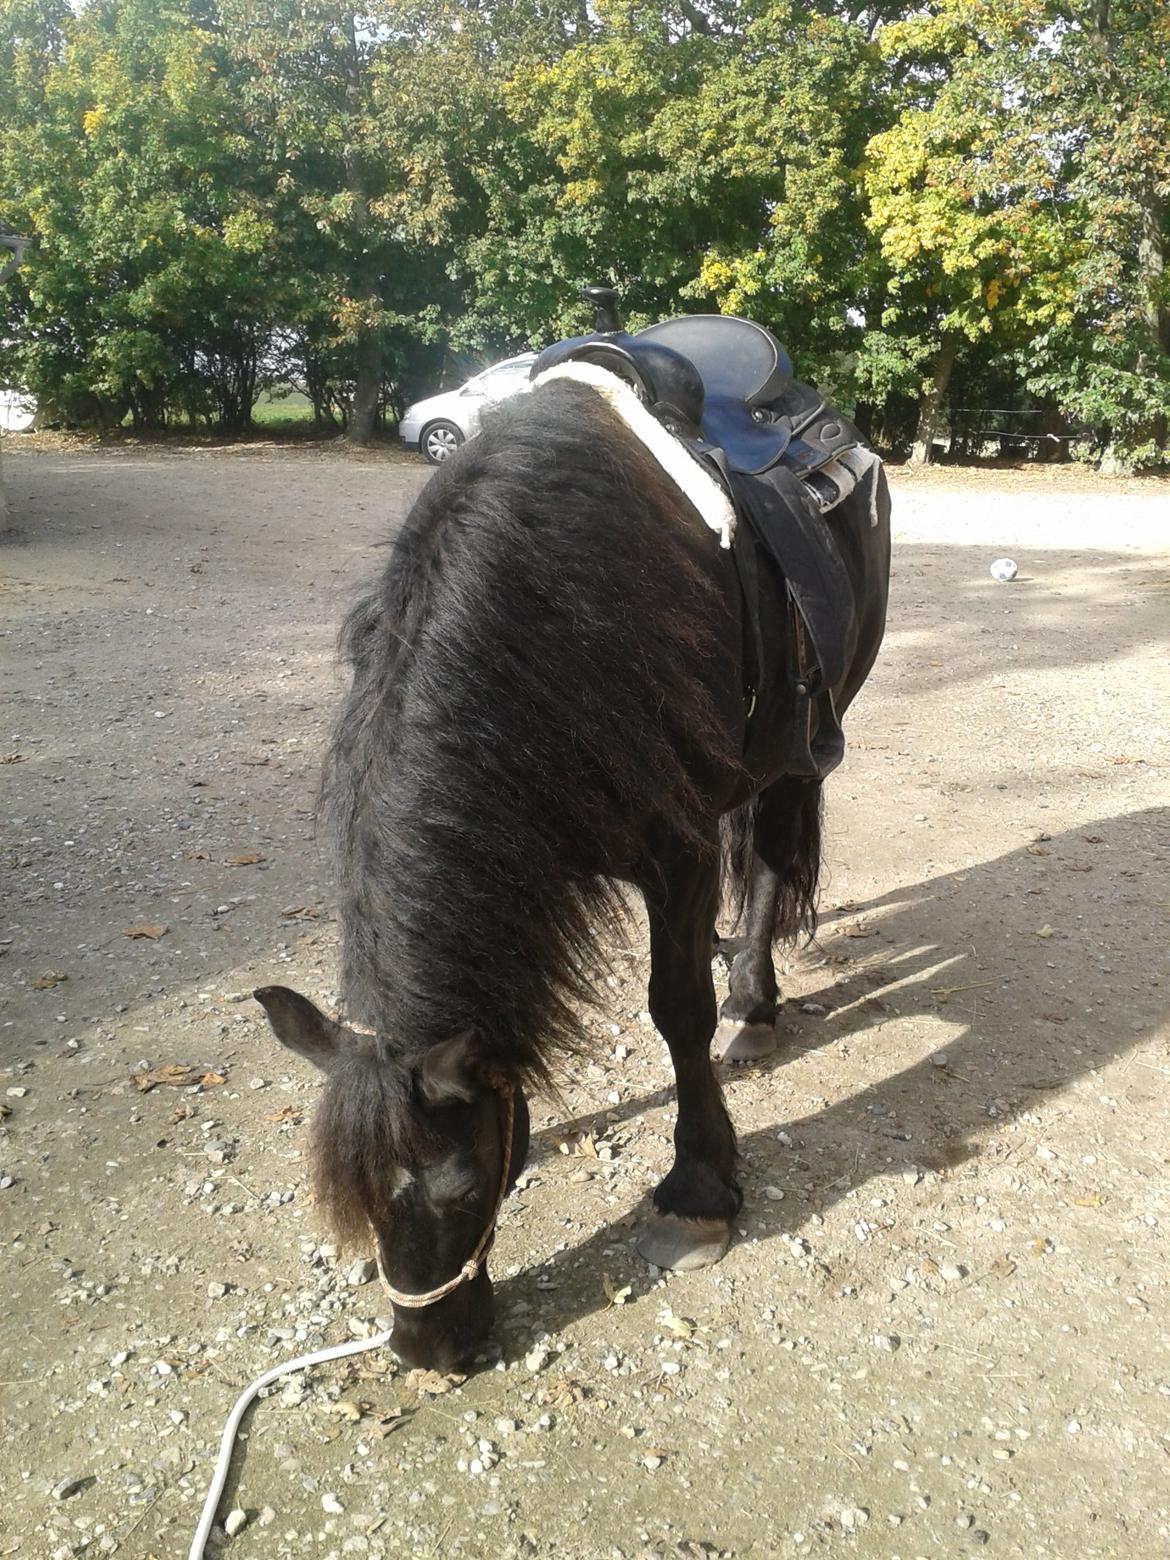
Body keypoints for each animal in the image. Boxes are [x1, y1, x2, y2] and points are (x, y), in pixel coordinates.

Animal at [258, 377, 886, 1366]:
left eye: (465, 1189)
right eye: (351, 1202)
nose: (428, 1351)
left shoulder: (677, 850)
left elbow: (677, 1012)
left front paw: (698, 1190)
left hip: (800, 751)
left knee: (770, 864)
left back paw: (754, 1002)